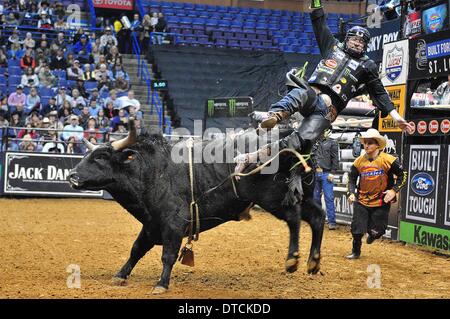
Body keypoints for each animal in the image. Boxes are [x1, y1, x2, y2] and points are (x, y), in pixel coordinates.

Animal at [69, 122, 324, 296]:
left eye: (101, 156)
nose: (72, 175)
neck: (154, 172)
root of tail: (289, 138)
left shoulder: (173, 224)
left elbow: (168, 255)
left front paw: (161, 284)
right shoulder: (151, 225)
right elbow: (136, 249)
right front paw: (120, 275)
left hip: (274, 198)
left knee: (294, 219)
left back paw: (292, 259)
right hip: (301, 195)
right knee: (317, 217)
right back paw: (313, 261)